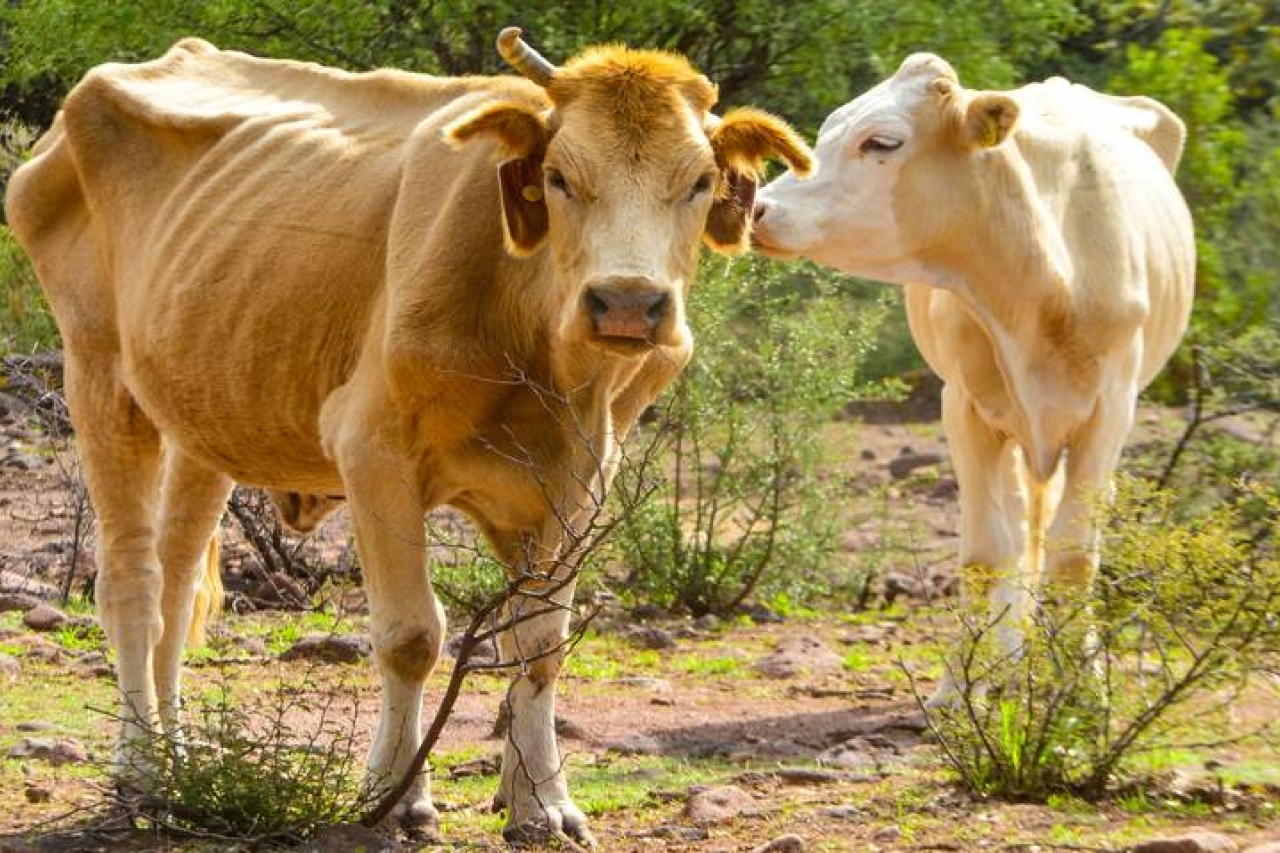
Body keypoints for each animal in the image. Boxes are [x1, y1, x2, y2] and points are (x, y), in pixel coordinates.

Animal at [7, 28, 808, 835]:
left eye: (700, 181)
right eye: (558, 176)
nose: (626, 303)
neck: (537, 348)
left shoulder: (580, 482)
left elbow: (539, 643)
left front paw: (541, 801)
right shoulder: (372, 448)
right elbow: (411, 635)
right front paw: (393, 794)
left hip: (205, 410)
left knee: (176, 583)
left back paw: (179, 760)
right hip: (97, 373)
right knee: (132, 581)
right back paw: (140, 766)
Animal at [752, 54, 1192, 701]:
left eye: (881, 142)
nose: (759, 209)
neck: (1040, 286)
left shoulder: (1110, 411)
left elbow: (1074, 556)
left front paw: (1082, 692)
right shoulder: (964, 407)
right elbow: (986, 553)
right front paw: (960, 687)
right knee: (1018, 527)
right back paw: (1009, 658)